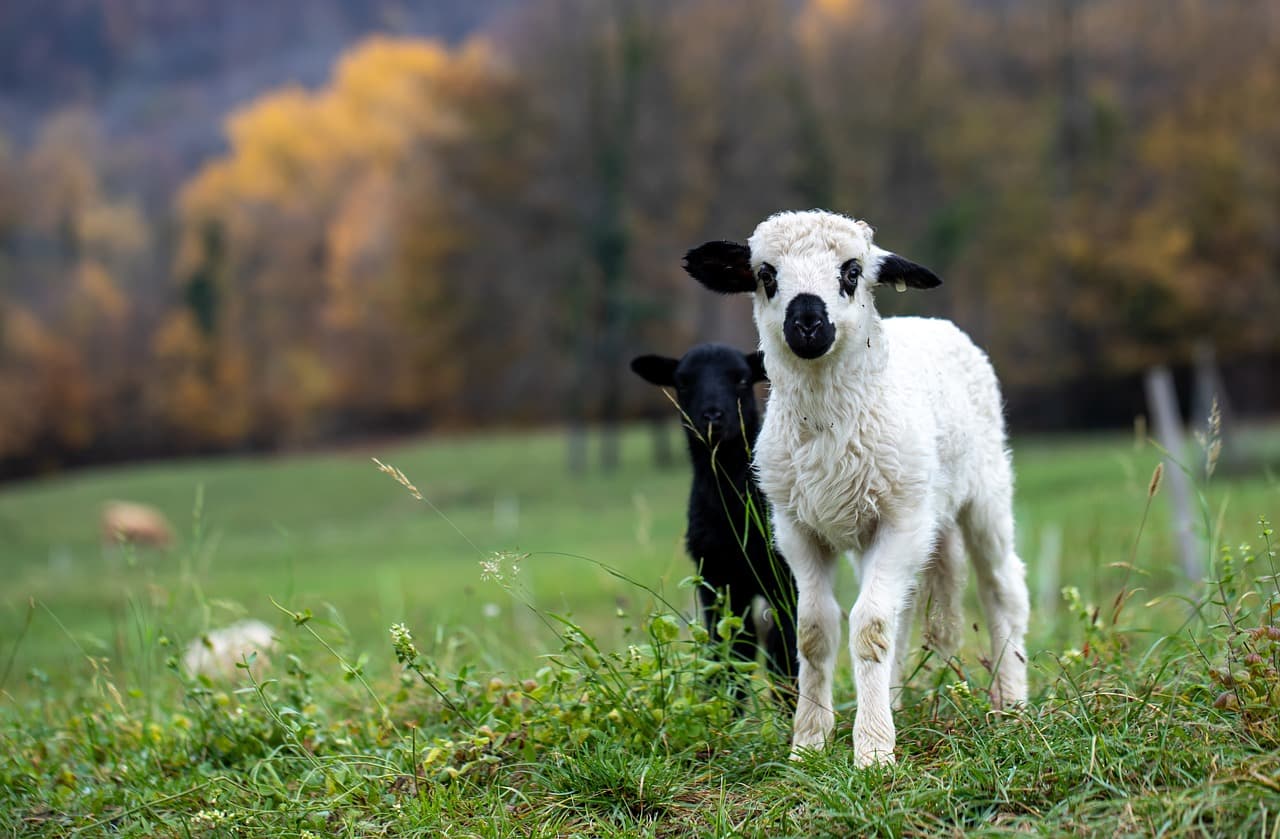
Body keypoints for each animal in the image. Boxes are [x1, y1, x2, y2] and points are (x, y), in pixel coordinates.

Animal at [631, 343, 798, 704]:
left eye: (742, 379)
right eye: (682, 381)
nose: (712, 417)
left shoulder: (784, 577)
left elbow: (785, 649)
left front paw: (792, 706)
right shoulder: (716, 577)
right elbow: (728, 651)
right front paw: (724, 705)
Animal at [683, 210, 1029, 765]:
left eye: (852, 271)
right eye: (765, 274)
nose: (806, 323)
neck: (829, 426)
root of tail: (930, 322)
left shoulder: (901, 520)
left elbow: (868, 628)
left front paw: (871, 751)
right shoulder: (796, 530)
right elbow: (814, 630)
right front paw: (809, 744)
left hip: (985, 491)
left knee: (1002, 588)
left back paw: (1013, 702)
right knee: (903, 613)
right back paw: (896, 700)